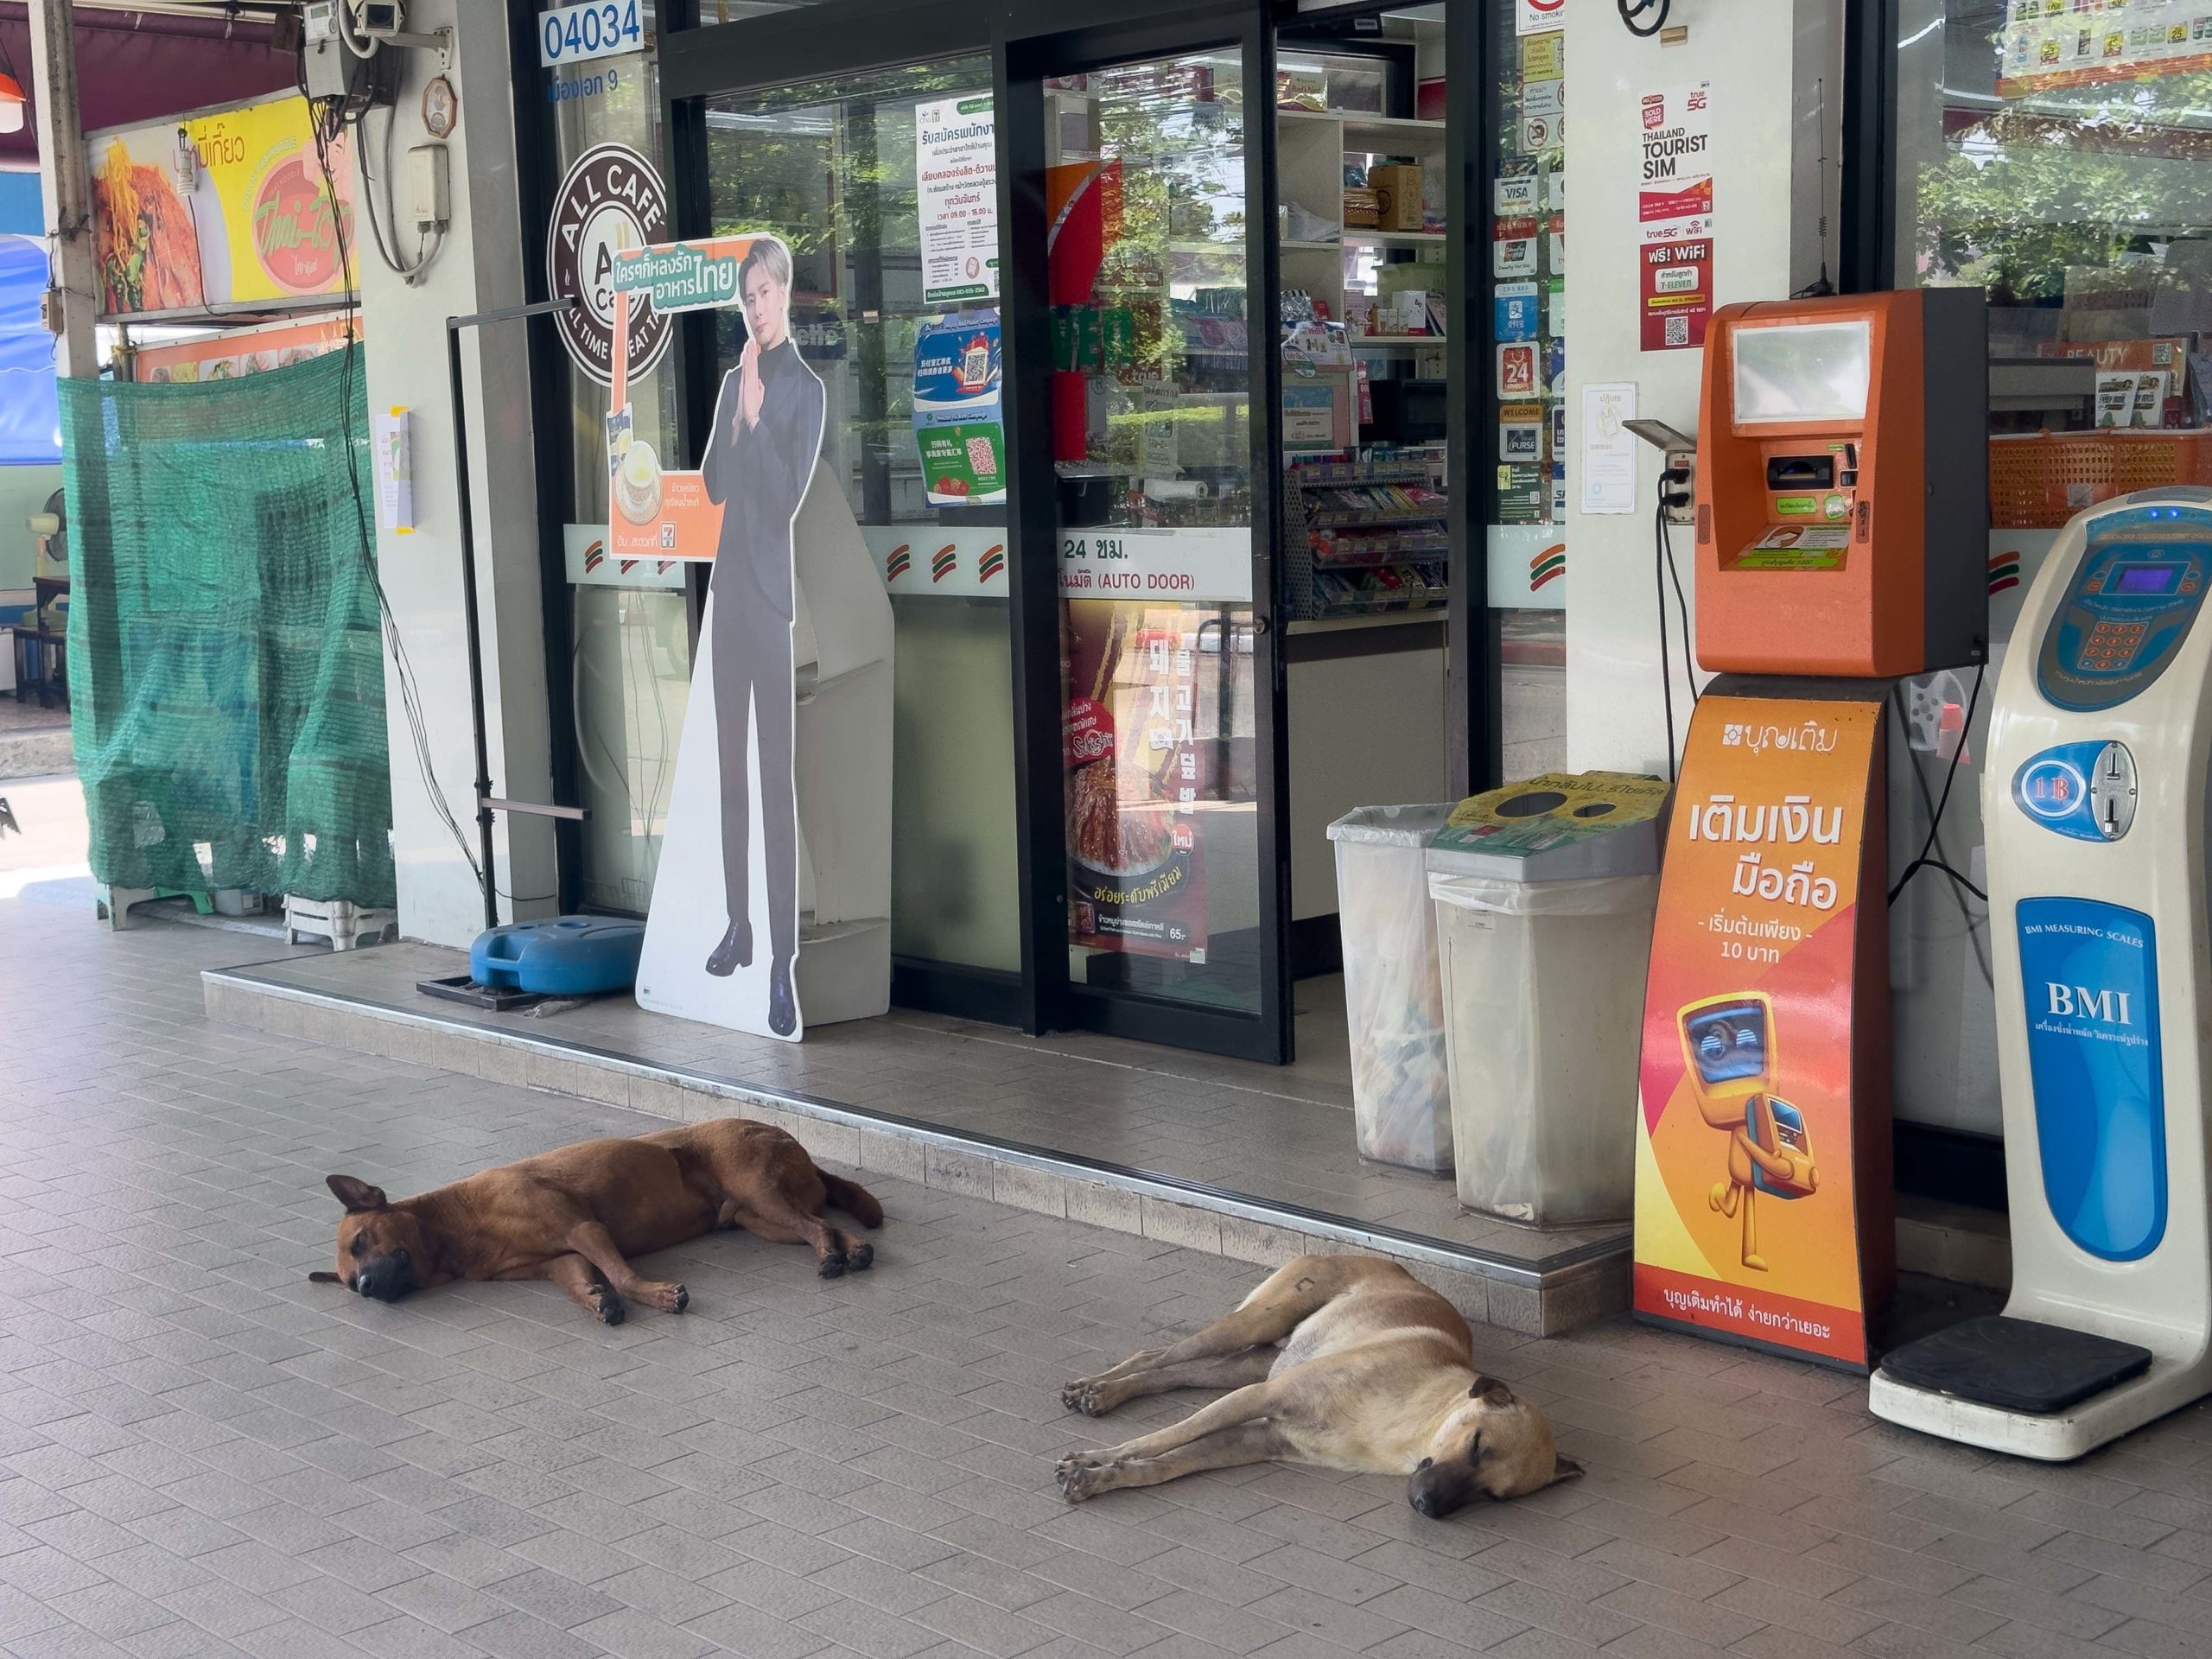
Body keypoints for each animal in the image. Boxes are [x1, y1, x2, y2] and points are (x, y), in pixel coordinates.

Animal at [308, 1117, 882, 1323]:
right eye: (346, 1282)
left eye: (361, 1240)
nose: (364, 1288)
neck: (458, 1228)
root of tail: (792, 1140)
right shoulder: (558, 1260)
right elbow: (579, 1280)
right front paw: (594, 1299)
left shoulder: (583, 1230)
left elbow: (623, 1276)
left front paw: (656, 1295)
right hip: (760, 1218)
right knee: (823, 1223)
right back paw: (850, 1250)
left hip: (757, 1188)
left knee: (816, 1226)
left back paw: (834, 1256)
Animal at [1056, 1254, 1580, 1515]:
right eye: (1476, 1444)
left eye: (1493, 1496)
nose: (1428, 1506)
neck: (1413, 1426)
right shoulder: (1260, 1398)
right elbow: (1161, 1439)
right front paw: (1093, 1459)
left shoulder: (1256, 1438)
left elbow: (1167, 1464)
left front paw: (1104, 1477)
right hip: (1253, 1327)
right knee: (1159, 1355)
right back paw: (1097, 1388)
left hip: (1251, 1364)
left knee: (1167, 1370)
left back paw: (1106, 1392)